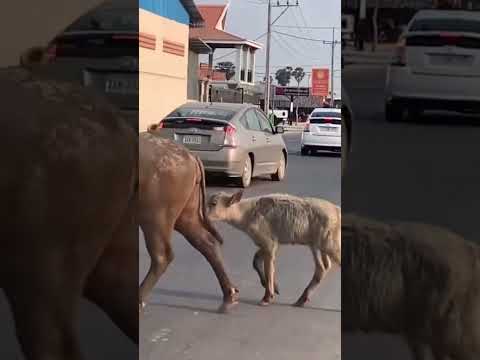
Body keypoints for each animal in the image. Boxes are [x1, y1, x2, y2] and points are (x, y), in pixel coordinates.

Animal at [138, 133, 239, 316]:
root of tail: (192, 156)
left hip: (155, 214)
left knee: (162, 255)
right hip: (185, 214)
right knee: (206, 242)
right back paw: (228, 298)